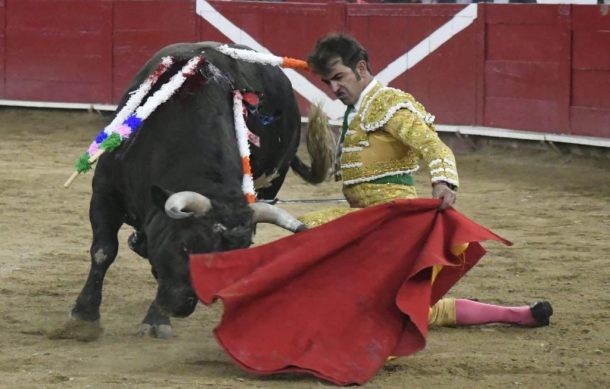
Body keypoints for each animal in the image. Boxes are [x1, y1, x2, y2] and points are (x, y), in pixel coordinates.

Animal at [64, 42, 316, 338]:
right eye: (186, 247)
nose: (180, 306)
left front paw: (156, 319)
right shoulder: (105, 192)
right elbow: (103, 250)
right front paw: (83, 316)